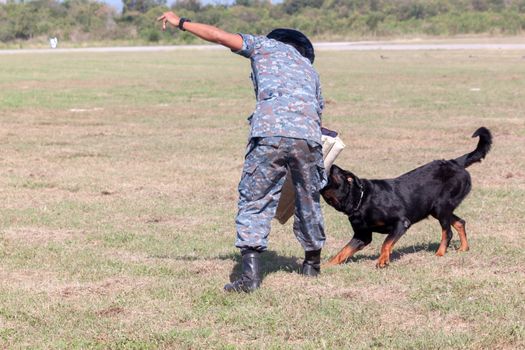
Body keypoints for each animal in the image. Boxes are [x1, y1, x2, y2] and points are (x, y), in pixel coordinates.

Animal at [320, 128, 492, 268]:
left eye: (338, 173)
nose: (331, 166)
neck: (361, 201)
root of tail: (455, 162)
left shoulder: (401, 223)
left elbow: (386, 243)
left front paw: (383, 261)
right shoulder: (362, 236)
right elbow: (343, 251)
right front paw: (327, 265)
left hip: (441, 207)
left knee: (447, 232)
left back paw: (440, 253)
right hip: (436, 209)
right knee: (460, 222)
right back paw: (463, 248)